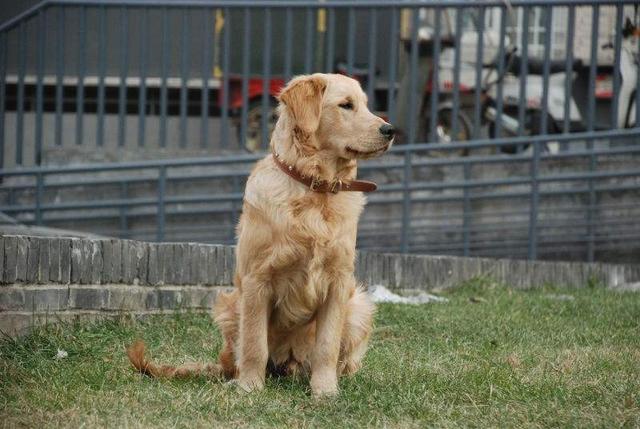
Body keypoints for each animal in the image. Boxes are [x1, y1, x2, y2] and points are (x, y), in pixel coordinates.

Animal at [127, 72, 392, 394]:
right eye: (346, 105)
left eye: (366, 105)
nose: (390, 130)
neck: (313, 189)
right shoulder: (257, 278)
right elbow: (254, 343)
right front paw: (249, 387)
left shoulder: (339, 281)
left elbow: (327, 345)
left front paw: (325, 390)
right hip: (229, 305)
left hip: (358, 305)